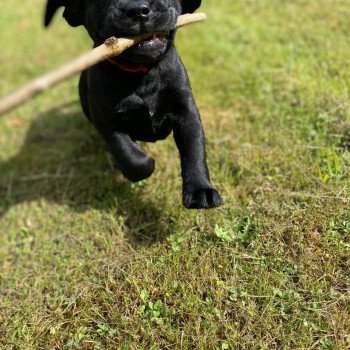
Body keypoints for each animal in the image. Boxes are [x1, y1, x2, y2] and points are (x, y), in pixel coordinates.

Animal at [45, 0, 223, 208]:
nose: (138, 10)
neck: (142, 72)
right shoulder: (108, 123)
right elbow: (130, 156)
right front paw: (145, 162)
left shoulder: (186, 111)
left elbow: (194, 149)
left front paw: (200, 190)